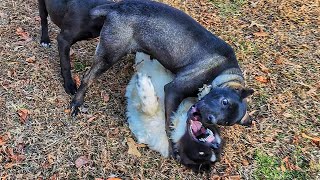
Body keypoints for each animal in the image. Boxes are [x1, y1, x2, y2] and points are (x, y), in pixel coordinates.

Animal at [71, 0, 254, 153]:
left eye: (224, 123)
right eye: (224, 101)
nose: (209, 118)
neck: (224, 73)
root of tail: (116, 6)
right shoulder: (173, 90)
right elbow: (169, 124)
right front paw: (173, 146)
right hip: (109, 56)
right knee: (87, 78)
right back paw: (77, 102)